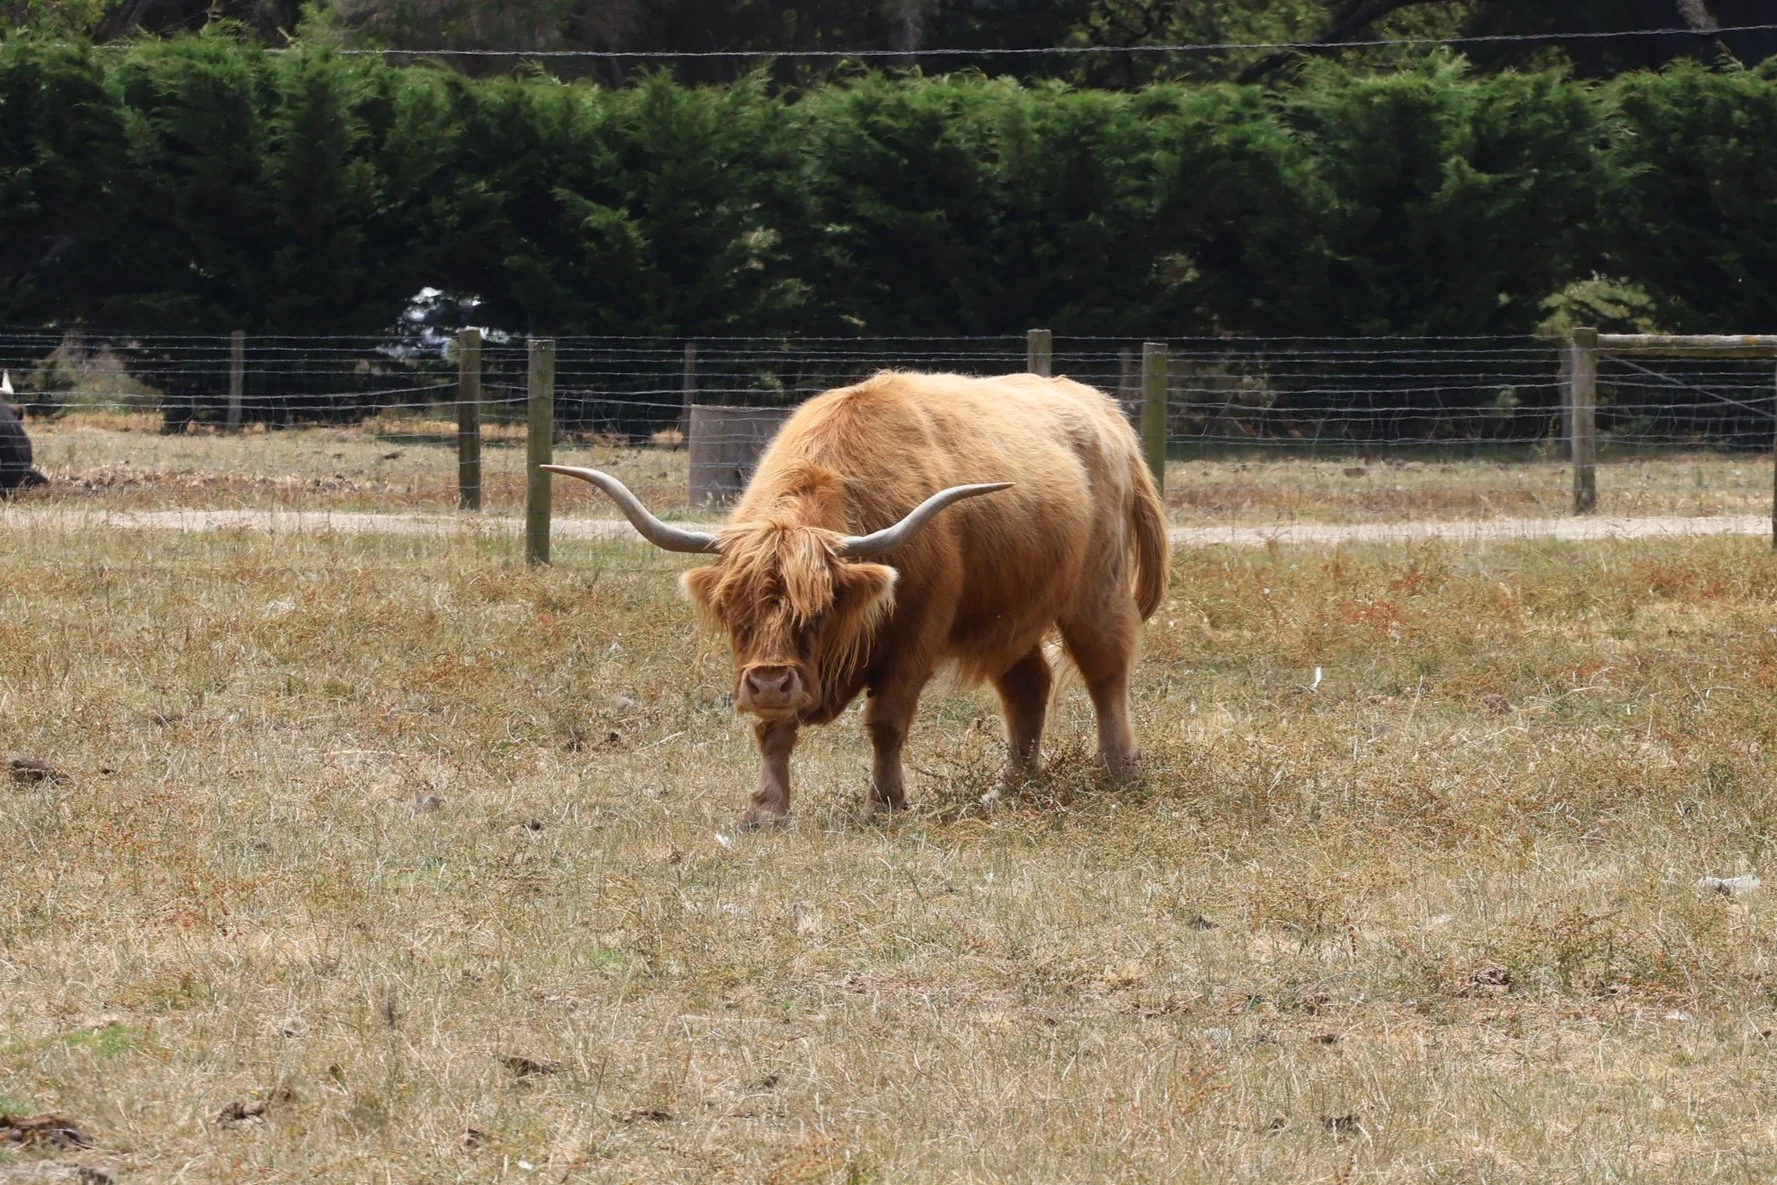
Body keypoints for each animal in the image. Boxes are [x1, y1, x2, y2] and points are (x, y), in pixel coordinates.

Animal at [544, 370, 1169, 827]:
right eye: (735, 611)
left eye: (820, 611)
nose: (769, 682)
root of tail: (1101, 408)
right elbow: (773, 730)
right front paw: (767, 809)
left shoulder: (915, 639)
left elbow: (886, 723)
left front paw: (884, 804)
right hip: (1009, 612)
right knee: (1028, 685)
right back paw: (1008, 787)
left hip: (1096, 591)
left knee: (1105, 670)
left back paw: (1118, 771)